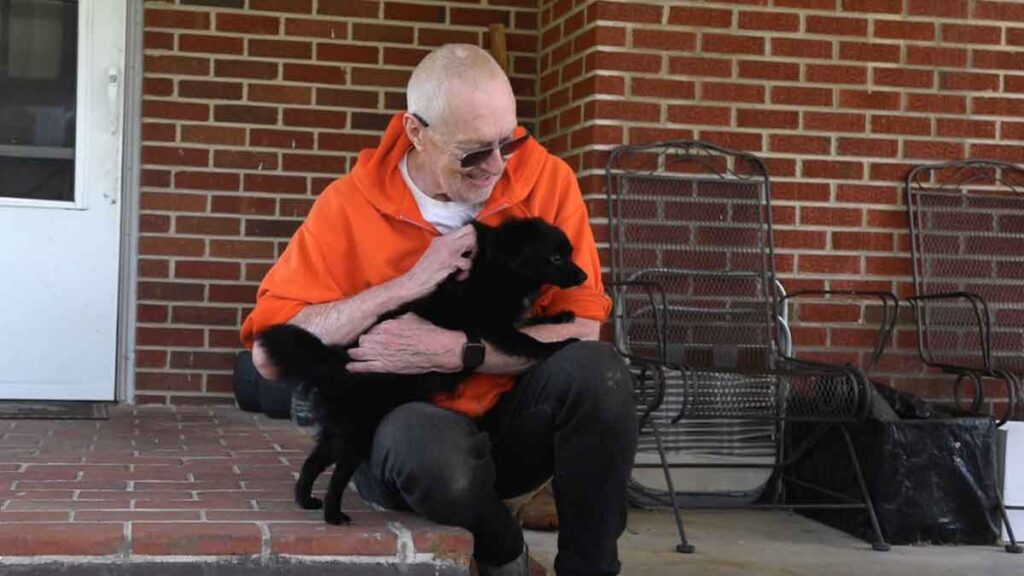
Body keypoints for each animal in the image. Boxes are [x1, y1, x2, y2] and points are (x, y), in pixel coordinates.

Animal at [258, 217, 585, 522]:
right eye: (556, 257)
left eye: (568, 253)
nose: (583, 276)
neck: (501, 272)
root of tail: (336, 363)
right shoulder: (498, 330)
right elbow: (530, 341)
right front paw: (563, 343)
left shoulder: (509, 324)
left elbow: (532, 323)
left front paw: (560, 316)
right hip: (357, 433)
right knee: (337, 476)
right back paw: (333, 515)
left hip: (337, 431)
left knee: (313, 461)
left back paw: (305, 500)